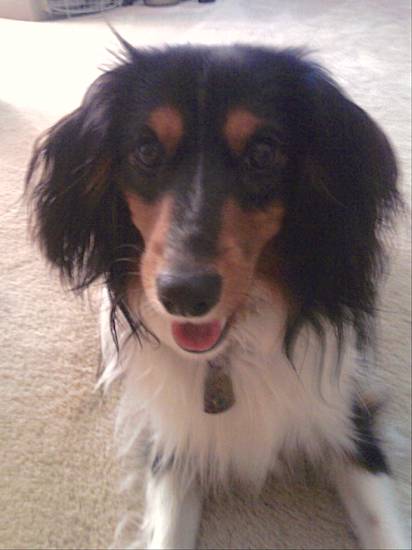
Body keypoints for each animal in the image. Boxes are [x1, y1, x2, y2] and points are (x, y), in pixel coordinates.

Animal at [26, 44, 408, 550]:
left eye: (263, 153)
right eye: (146, 151)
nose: (184, 294)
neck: (229, 354)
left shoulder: (349, 421)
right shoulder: (175, 444)